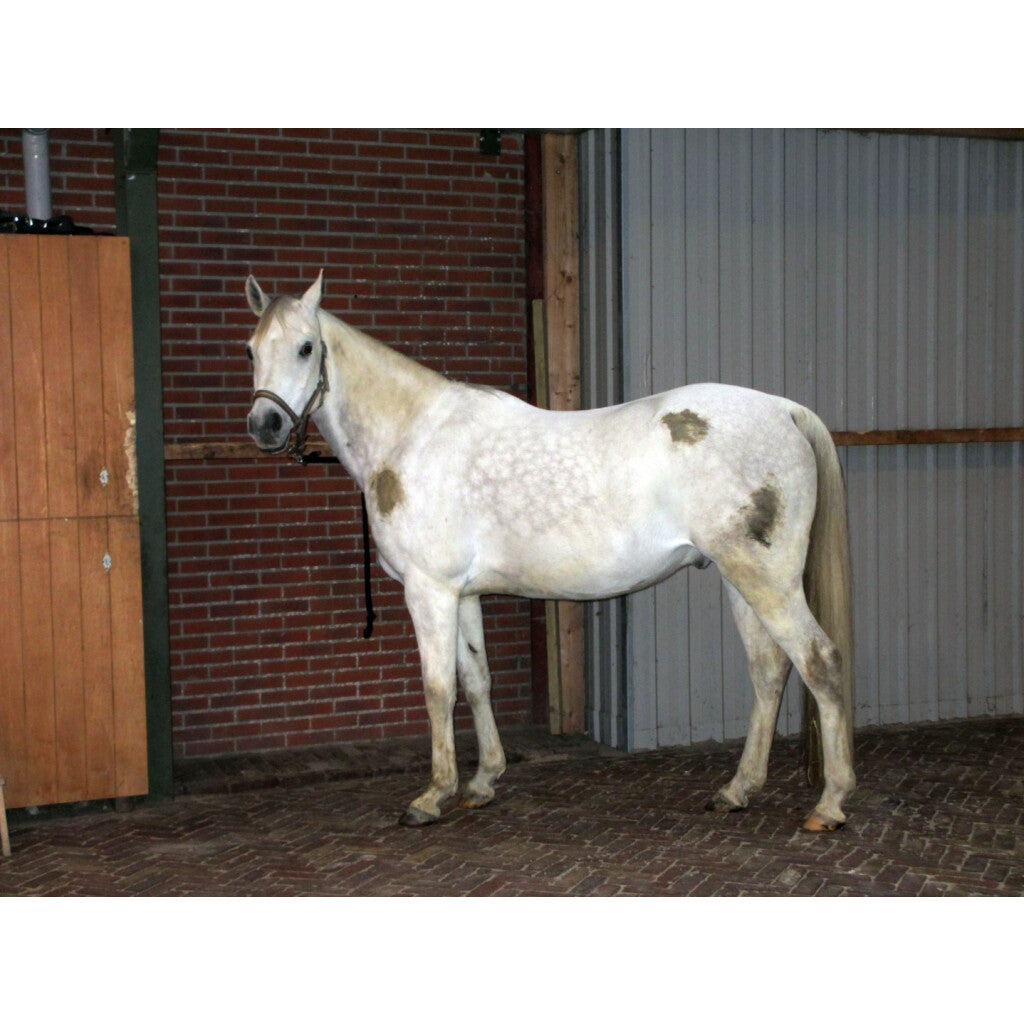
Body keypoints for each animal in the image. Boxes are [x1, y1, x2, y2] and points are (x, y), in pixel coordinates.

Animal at [244, 272, 856, 833]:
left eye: (306, 347)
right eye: (250, 348)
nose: (265, 425)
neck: (412, 435)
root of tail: (784, 410)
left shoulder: (429, 591)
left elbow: (438, 689)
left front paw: (432, 795)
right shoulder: (463, 595)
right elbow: (477, 680)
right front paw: (483, 782)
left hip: (767, 580)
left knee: (819, 662)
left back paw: (830, 804)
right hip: (738, 579)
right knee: (769, 672)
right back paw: (737, 791)